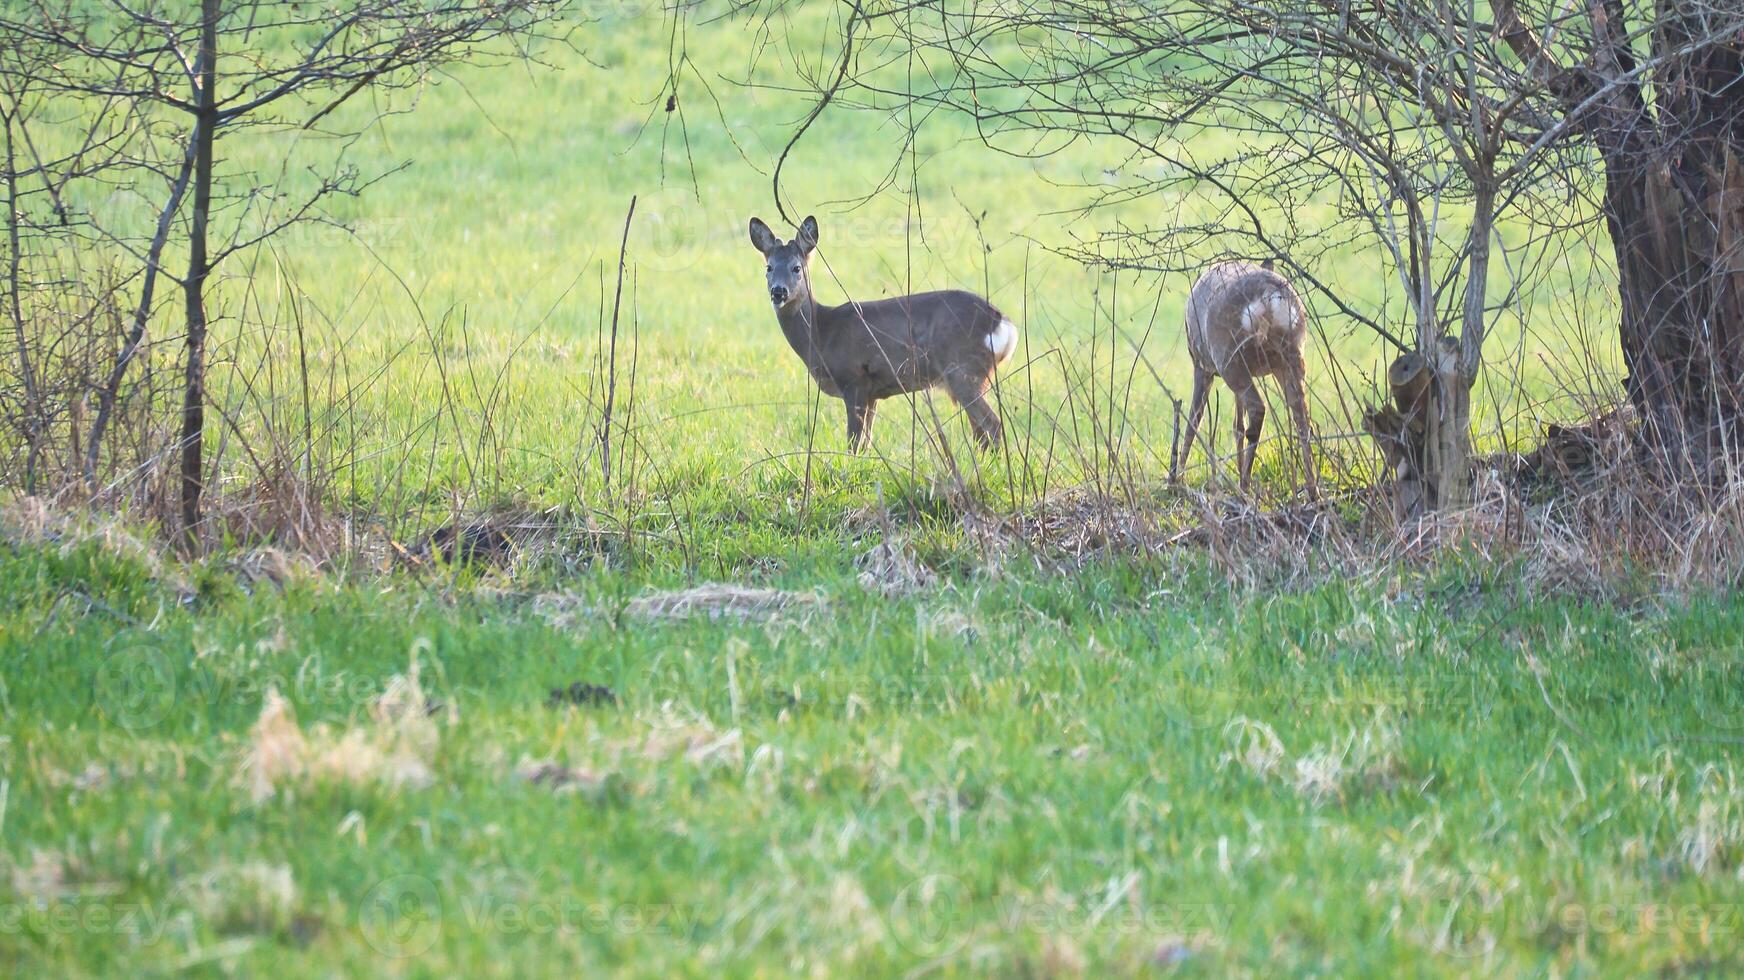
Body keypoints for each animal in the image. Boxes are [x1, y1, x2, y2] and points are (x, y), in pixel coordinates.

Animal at [742, 213, 1018, 449]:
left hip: (963, 369)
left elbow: (853, 443)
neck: (823, 334)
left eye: (797, 268)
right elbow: (866, 442)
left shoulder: (853, 379)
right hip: (970, 376)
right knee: (980, 433)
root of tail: (1001, 322)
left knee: (992, 425)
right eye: (768, 268)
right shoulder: (872, 392)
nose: (779, 292)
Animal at [1171, 259, 1318, 495]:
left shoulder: (1201, 364)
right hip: (1290, 356)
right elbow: (1237, 425)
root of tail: (1268, 296)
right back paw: (1313, 491)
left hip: (1229, 359)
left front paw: (1177, 478)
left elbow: (1194, 420)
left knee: (1258, 409)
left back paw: (1244, 485)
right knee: (1302, 420)